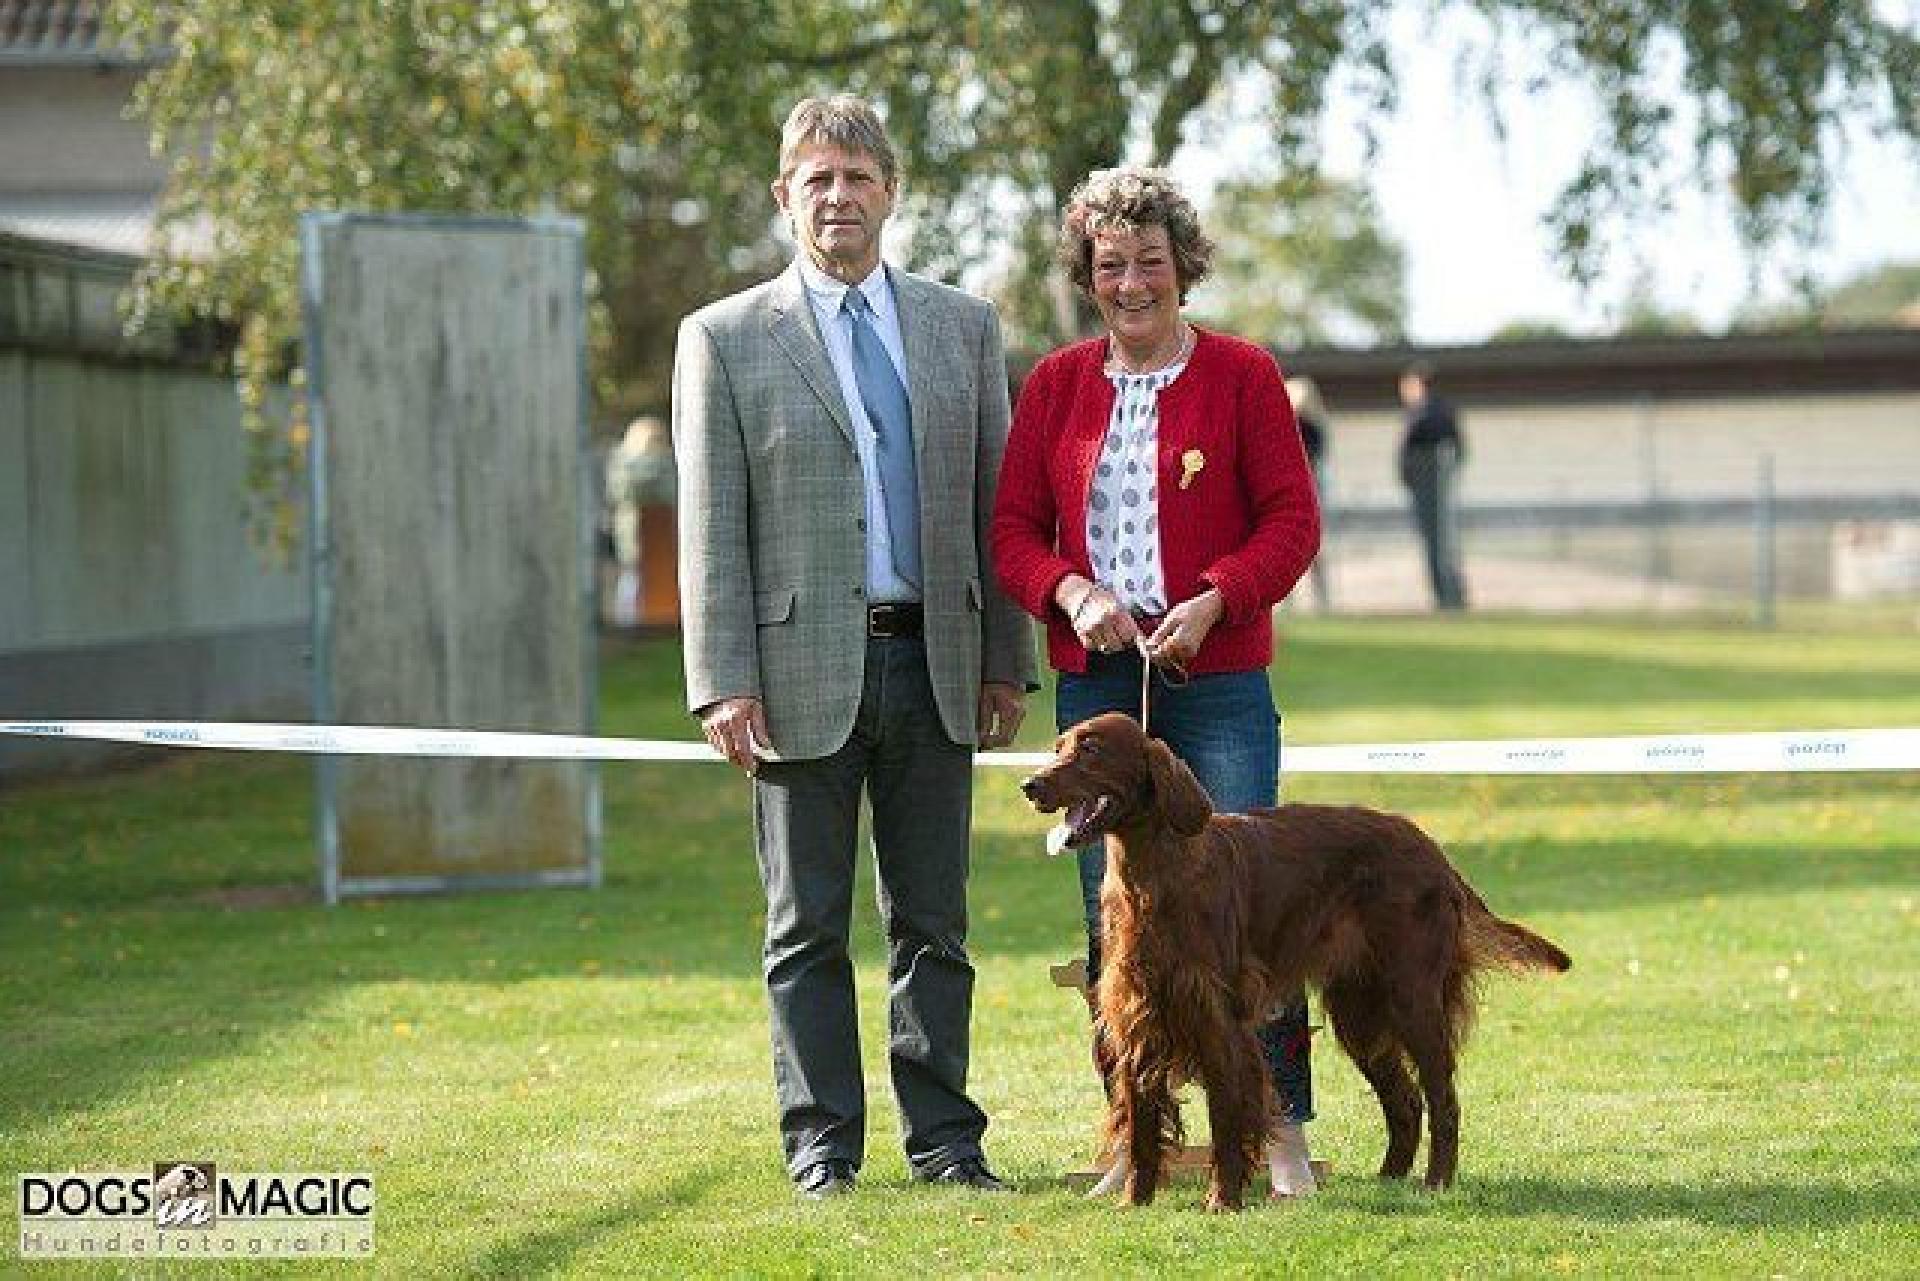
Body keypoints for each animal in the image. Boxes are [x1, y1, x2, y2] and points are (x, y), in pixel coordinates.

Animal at [1029, 710, 1566, 1213]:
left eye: (1092, 748)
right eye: (1058, 747)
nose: (1030, 786)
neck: (1154, 875)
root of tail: (1433, 851)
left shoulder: (1216, 1016)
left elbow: (1225, 1118)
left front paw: (1223, 1200)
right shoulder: (1137, 1014)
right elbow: (1141, 1123)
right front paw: (1135, 1202)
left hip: (1411, 998)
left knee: (1442, 1096)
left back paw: (1436, 1181)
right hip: (1360, 1013)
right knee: (1405, 1099)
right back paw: (1389, 1180)